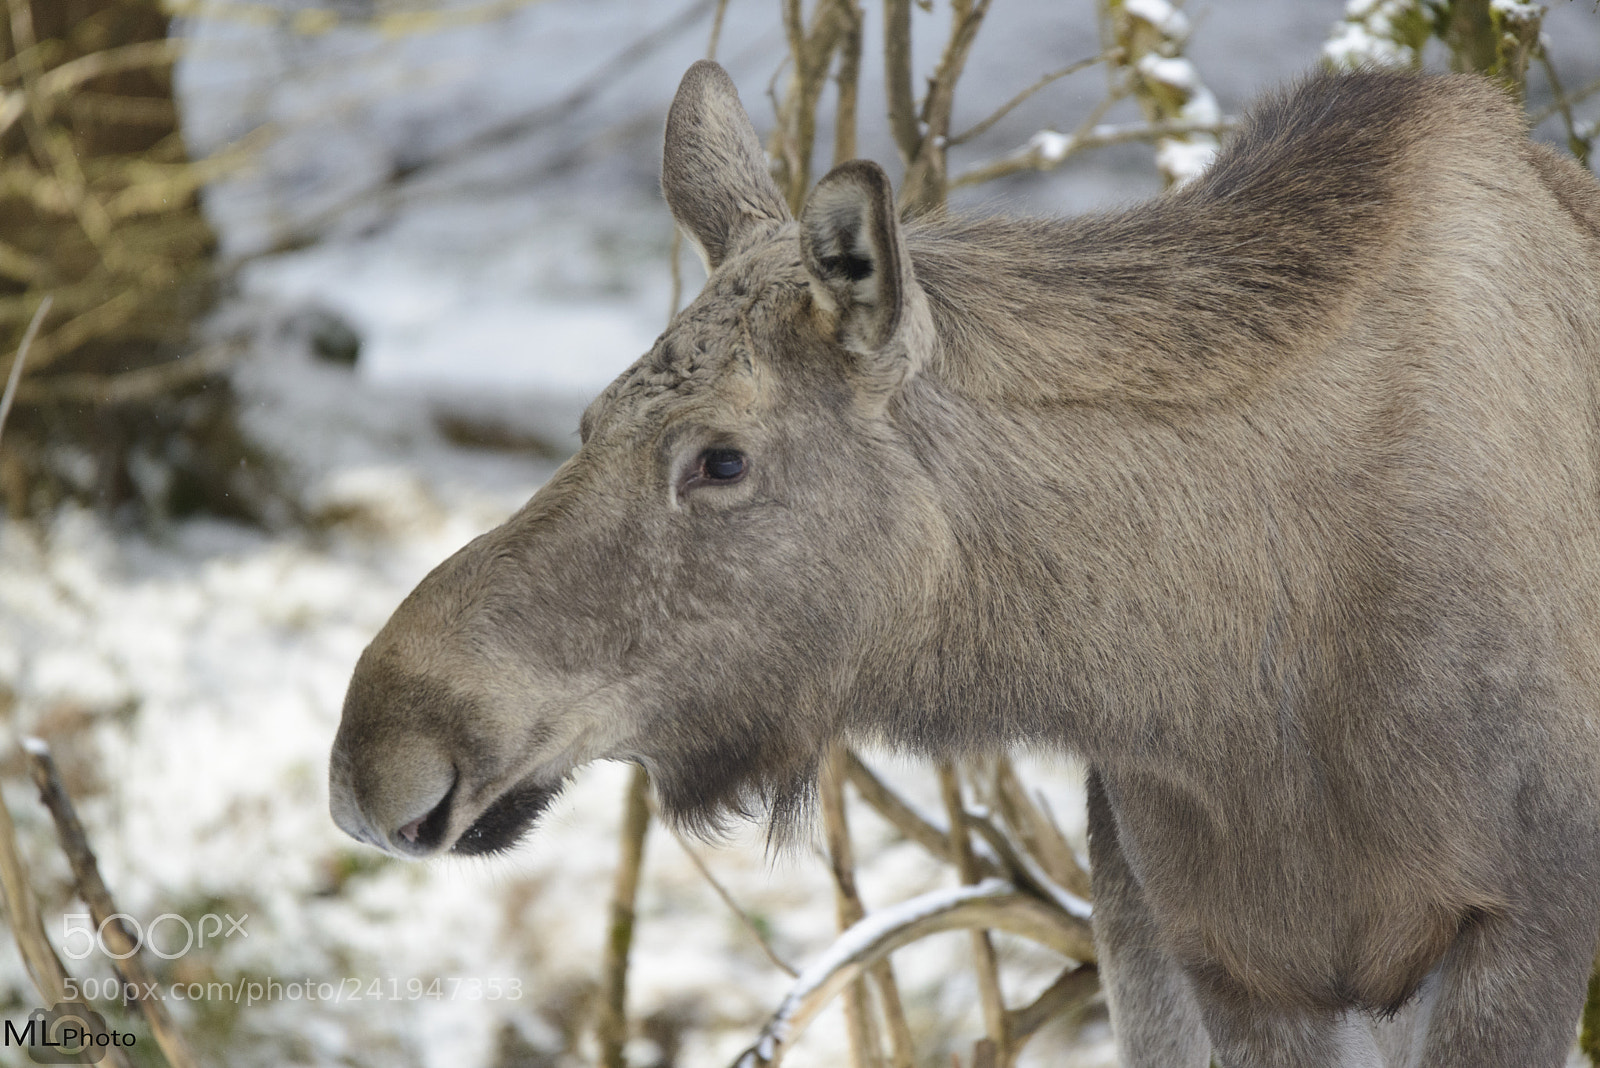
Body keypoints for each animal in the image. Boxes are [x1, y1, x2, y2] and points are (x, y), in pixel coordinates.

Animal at [329, 59, 1600, 1066]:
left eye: (721, 459)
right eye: (588, 421)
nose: (374, 754)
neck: (1223, 695)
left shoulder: (1521, 927)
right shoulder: (1238, 964)